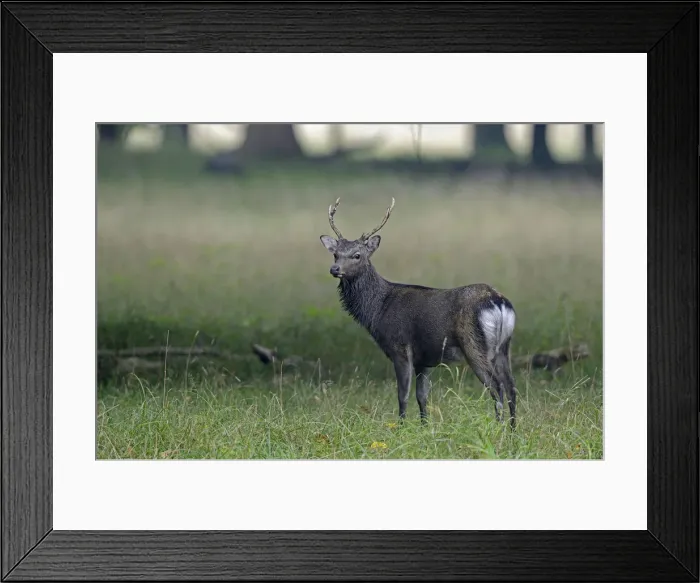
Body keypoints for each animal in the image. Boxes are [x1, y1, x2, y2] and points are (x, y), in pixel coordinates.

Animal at [319, 197, 519, 429]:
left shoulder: (400, 348)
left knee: (497, 387)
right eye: (335, 254)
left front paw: (401, 428)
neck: (378, 309)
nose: (335, 269)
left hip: (475, 345)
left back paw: (500, 429)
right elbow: (422, 397)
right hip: (504, 347)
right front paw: (424, 428)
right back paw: (513, 430)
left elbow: (403, 395)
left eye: (357, 255)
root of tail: (497, 300)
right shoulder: (425, 359)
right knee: (512, 386)